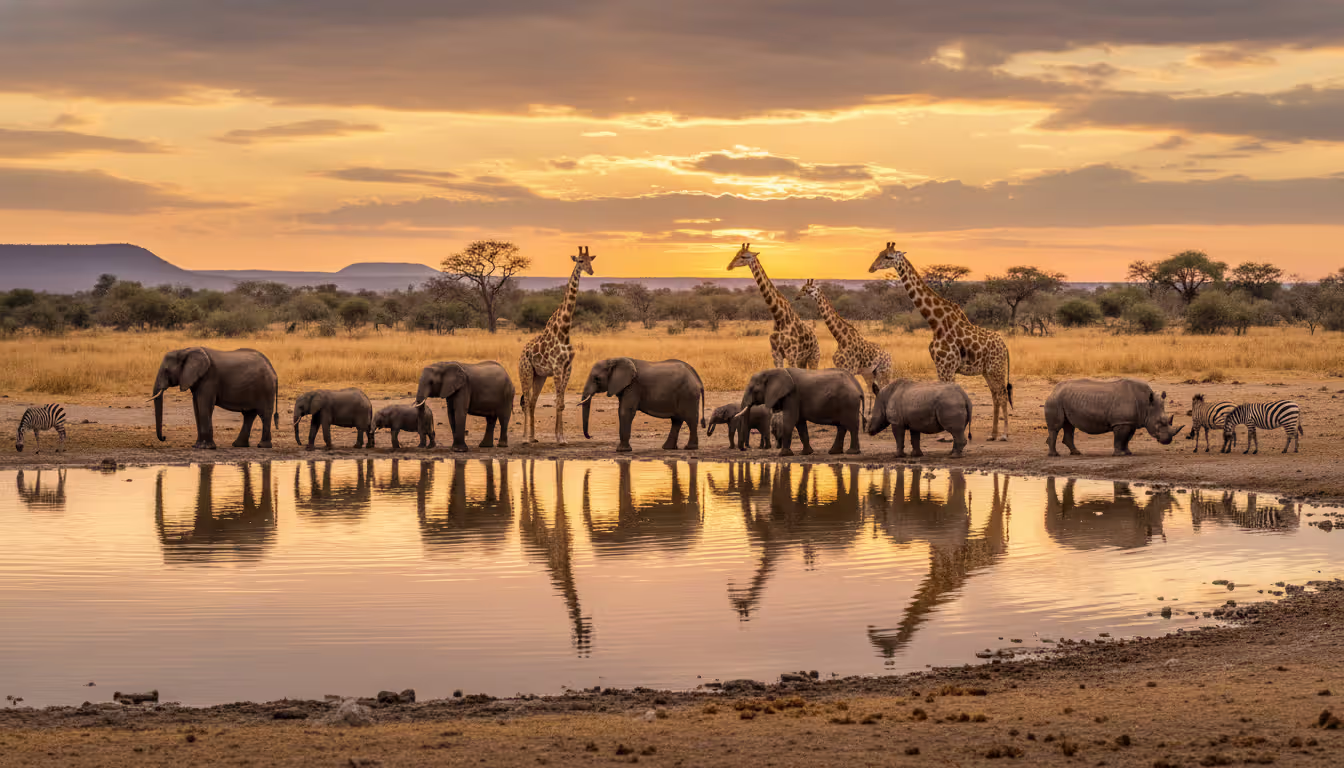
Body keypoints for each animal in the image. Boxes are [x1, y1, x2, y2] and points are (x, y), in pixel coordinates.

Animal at [148, 347, 279, 450]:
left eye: (166, 370)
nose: (164, 437)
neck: (185, 350)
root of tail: (272, 368)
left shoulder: (209, 379)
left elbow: (204, 406)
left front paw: (205, 447)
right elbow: (196, 407)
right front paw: (197, 446)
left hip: (266, 388)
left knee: (264, 414)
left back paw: (263, 446)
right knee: (249, 415)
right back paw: (239, 445)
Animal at [518, 246, 594, 444]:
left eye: (590, 260)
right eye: (580, 261)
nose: (591, 271)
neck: (564, 332)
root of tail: (521, 353)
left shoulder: (567, 368)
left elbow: (561, 403)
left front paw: (562, 437)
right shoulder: (558, 368)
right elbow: (558, 402)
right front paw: (559, 438)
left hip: (540, 376)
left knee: (532, 402)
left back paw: (533, 437)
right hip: (526, 372)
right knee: (525, 401)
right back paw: (524, 437)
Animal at [869, 242, 1013, 440]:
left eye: (888, 257)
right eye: (879, 253)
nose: (871, 268)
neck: (935, 322)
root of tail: (1005, 346)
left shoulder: (947, 366)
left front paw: (948, 435)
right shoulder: (940, 366)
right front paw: (943, 434)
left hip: (996, 369)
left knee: (1002, 395)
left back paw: (1004, 434)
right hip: (987, 371)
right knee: (995, 396)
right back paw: (992, 434)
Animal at [1045, 378, 1185, 457]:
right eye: (1159, 423)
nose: (1167, 440)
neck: (1146, 405)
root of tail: (1053, 389)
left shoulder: (1130, 422)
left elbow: (1127, 439)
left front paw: (1128, 453)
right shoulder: (1121, 422)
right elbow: (1119, 438)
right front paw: (1118, 454)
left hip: (1065, 399)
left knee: (1069, 425)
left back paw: (1076, 453)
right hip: (1055, 400)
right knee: (1056, 427)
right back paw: (1054, 455)